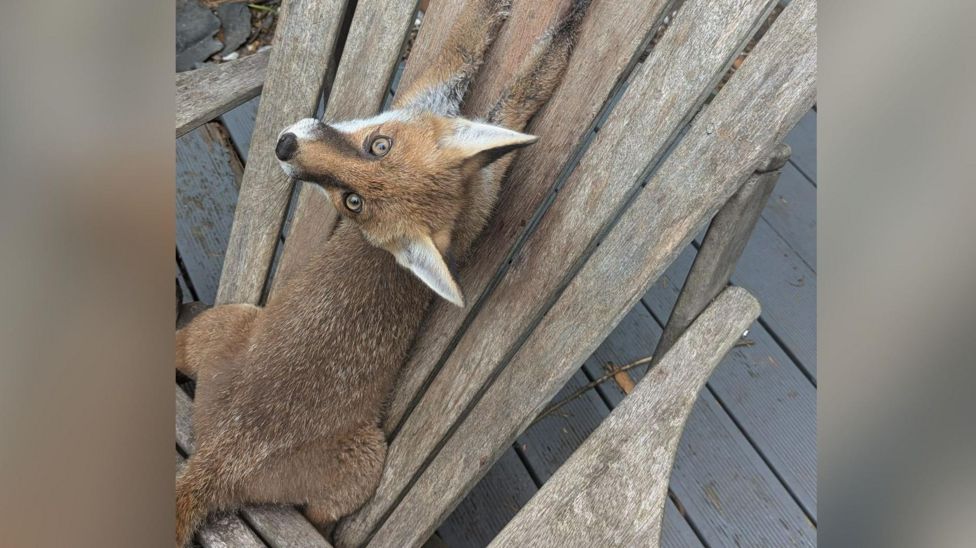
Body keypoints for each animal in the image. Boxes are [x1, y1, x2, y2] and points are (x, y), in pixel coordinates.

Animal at [174, 0, 590, 545]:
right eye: (378, 146)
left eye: (353, 202)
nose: (284, 147)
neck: (464, 207)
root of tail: (216, 456)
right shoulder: (438, 98)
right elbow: (481, 48)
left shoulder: (478, 171)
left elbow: (520, 87)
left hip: (366, 457)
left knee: (320, 519)